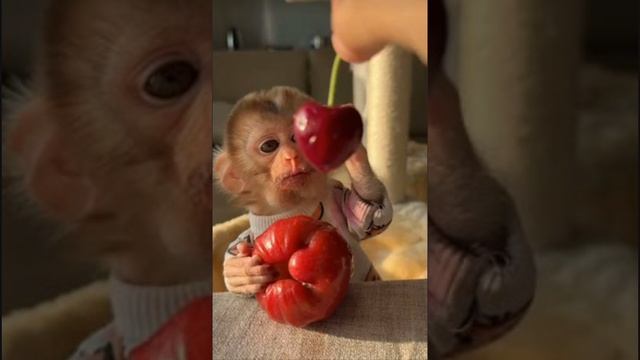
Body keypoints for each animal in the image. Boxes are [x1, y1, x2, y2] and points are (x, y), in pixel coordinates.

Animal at [215, 86, 392, 294]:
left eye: (296, 138)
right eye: (269, 145)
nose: (292, 156)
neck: (292, 208)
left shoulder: (335, 195)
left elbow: (368, 218)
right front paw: (242, 273)